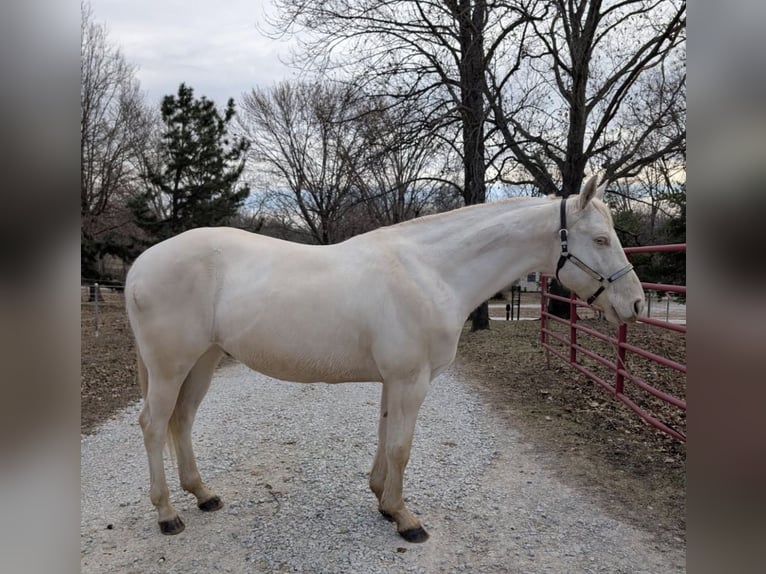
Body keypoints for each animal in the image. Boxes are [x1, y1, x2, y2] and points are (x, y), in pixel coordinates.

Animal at [125, 175, 645, 541]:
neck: (429, 272)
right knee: (153, 425)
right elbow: (401, 447)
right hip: (171, 366)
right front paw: (405, 518)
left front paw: (382, 501)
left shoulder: (394, 381)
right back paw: (168, 514)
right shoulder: (411, 380)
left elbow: (384, 437)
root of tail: (140, 265)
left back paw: (203, 495)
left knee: (182, 420)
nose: (636, 304)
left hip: (203, 361)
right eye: (601, 239)